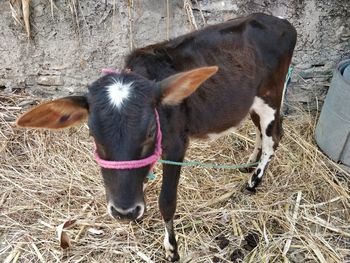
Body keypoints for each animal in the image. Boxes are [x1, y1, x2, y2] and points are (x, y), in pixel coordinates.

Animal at [15, 12, 296, 262]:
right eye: (92, 133)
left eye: (151, 131)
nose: (125, 211)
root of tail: (281, 21)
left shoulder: (177, 144)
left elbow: (167, 201)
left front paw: (172, 249)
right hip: (251, 101)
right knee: (259, 130)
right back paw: (249, 162)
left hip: (271, 96)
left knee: (274, 137)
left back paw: (254, 181)